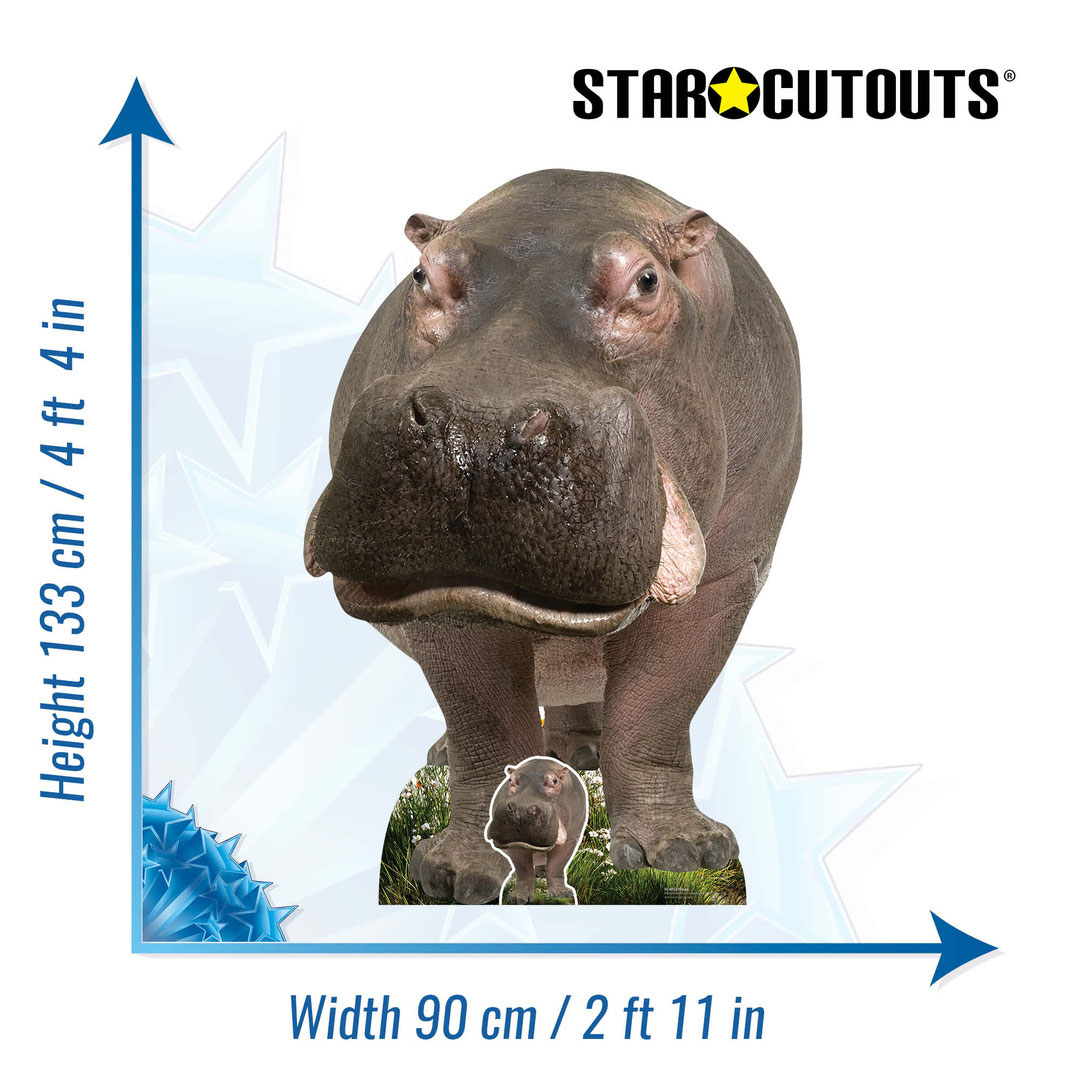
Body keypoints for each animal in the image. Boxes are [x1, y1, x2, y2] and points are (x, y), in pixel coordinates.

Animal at [485, 757, 588, 904]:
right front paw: (518, 898)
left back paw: (542, 874)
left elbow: (557, 866)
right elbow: (524, 870)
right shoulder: (516, 845)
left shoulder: (571, 838)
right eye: (510, 780)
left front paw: (561, 894)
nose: (521, 809)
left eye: (555, 781)